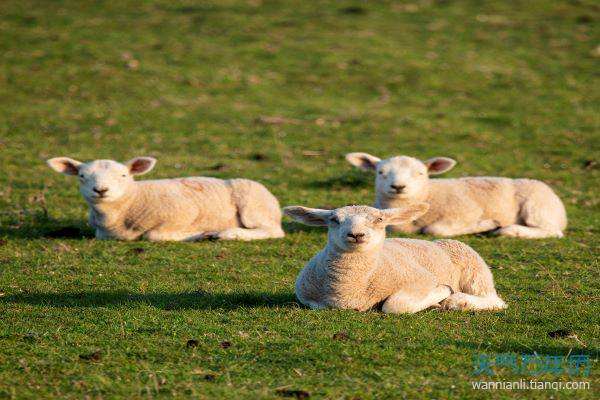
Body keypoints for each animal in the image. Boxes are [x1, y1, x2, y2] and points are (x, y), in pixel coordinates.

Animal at [45, 156, 284, 241]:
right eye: (82, 176)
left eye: (123, 176)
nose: (101, 190)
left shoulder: (185, 213)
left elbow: (154, 235)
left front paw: (199, 234)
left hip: (252, 205)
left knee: (272, 231)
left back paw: (227, 233)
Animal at [284, 205, 506, 314]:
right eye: (334, 220)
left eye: (379, 219)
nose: (356, 234)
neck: (350, 287)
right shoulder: (309, 299)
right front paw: (435, 302)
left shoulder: (422, 279)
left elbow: (393, 305)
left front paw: (444, 292)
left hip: (474, 268)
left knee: (495, 301)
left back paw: (458, 301)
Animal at [346, 152, 568, 239]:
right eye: (380, 172)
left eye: (420, 173)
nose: (398, 186)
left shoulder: (468, 210)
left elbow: (435, 230)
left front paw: (486, 224)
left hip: (537, 207)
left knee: (552, 231)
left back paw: (509, 230)